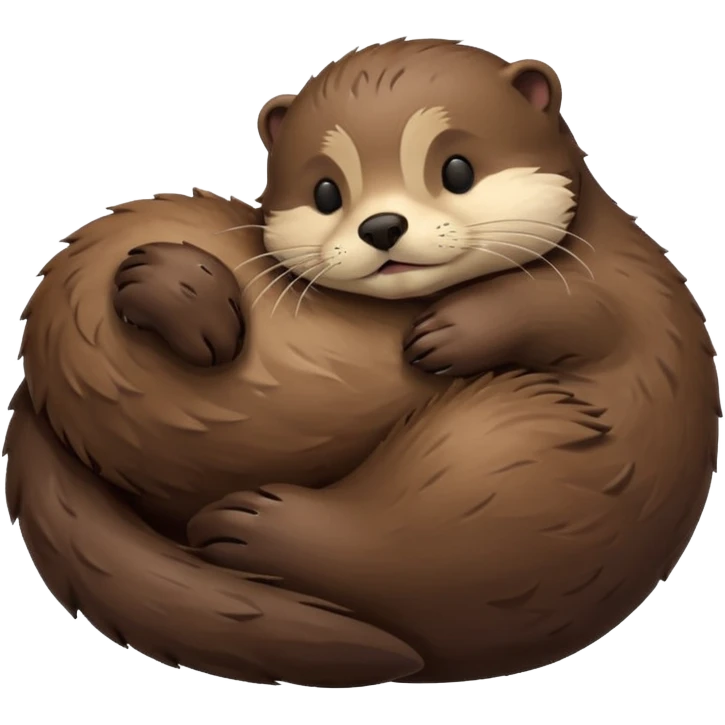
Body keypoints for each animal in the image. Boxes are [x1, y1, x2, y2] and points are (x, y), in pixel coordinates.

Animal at [4, 38, 719, 688]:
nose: (381, 226)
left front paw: (447, 336)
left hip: (502, 454)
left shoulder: (623, 285)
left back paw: (253, 529)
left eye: (457, 169)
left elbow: (561, 304)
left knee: (400, 549)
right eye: (325, 190)